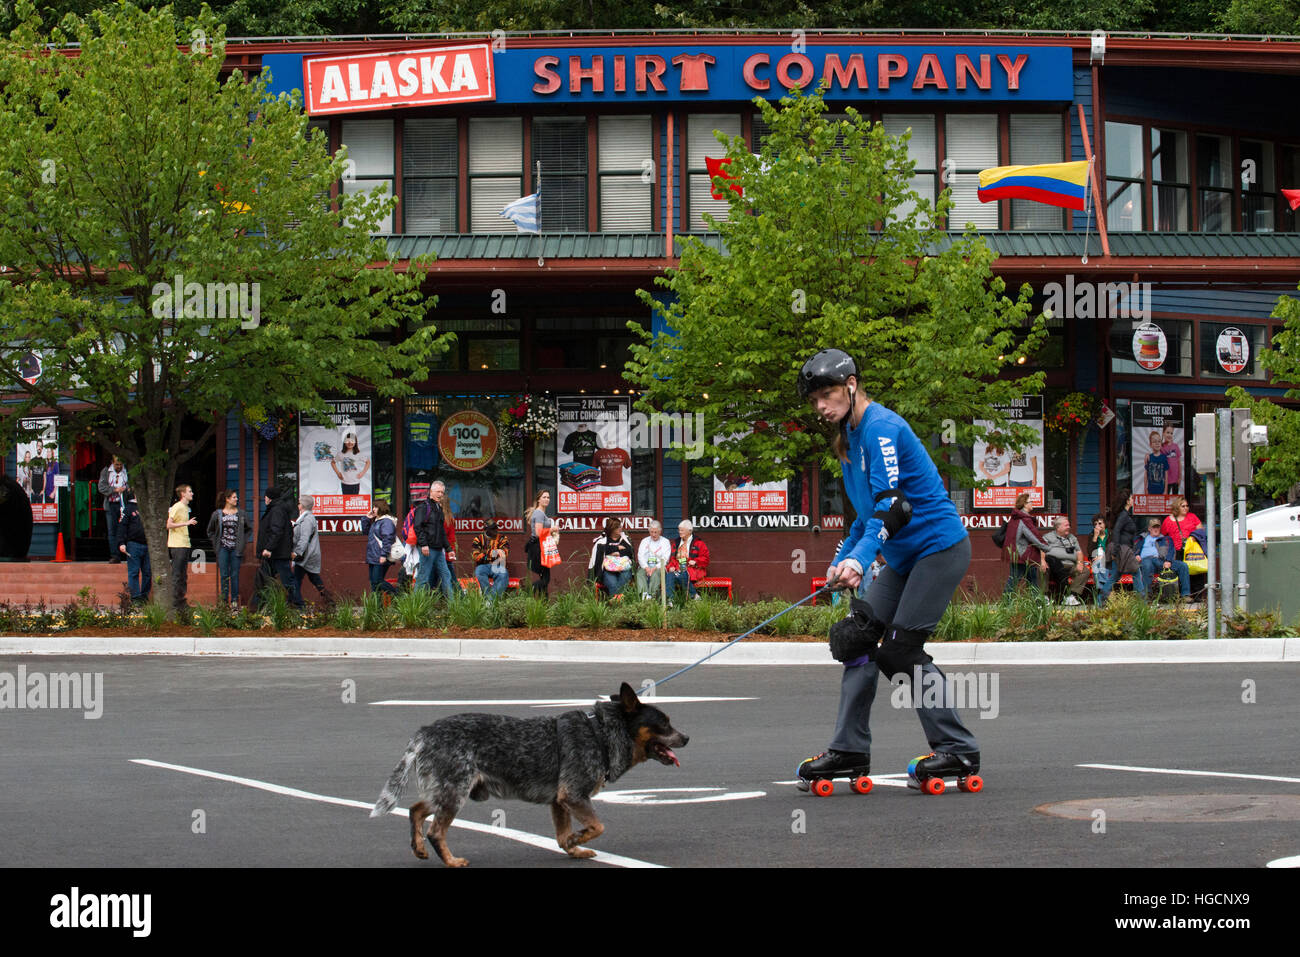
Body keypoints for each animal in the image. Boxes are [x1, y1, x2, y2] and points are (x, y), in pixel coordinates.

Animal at [369, 681, 686, 868]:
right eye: (664, 723)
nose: (687, 738)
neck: (601, 734)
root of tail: (425, 732)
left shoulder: (560, 802)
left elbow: (564, 835)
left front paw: (573, 848)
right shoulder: (574, 795)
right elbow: (597, 826)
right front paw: (577, 840)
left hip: (444, 791)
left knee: (415, 810)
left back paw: (419, 848)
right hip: (454, 793)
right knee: (436, 830)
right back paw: (451, 860)